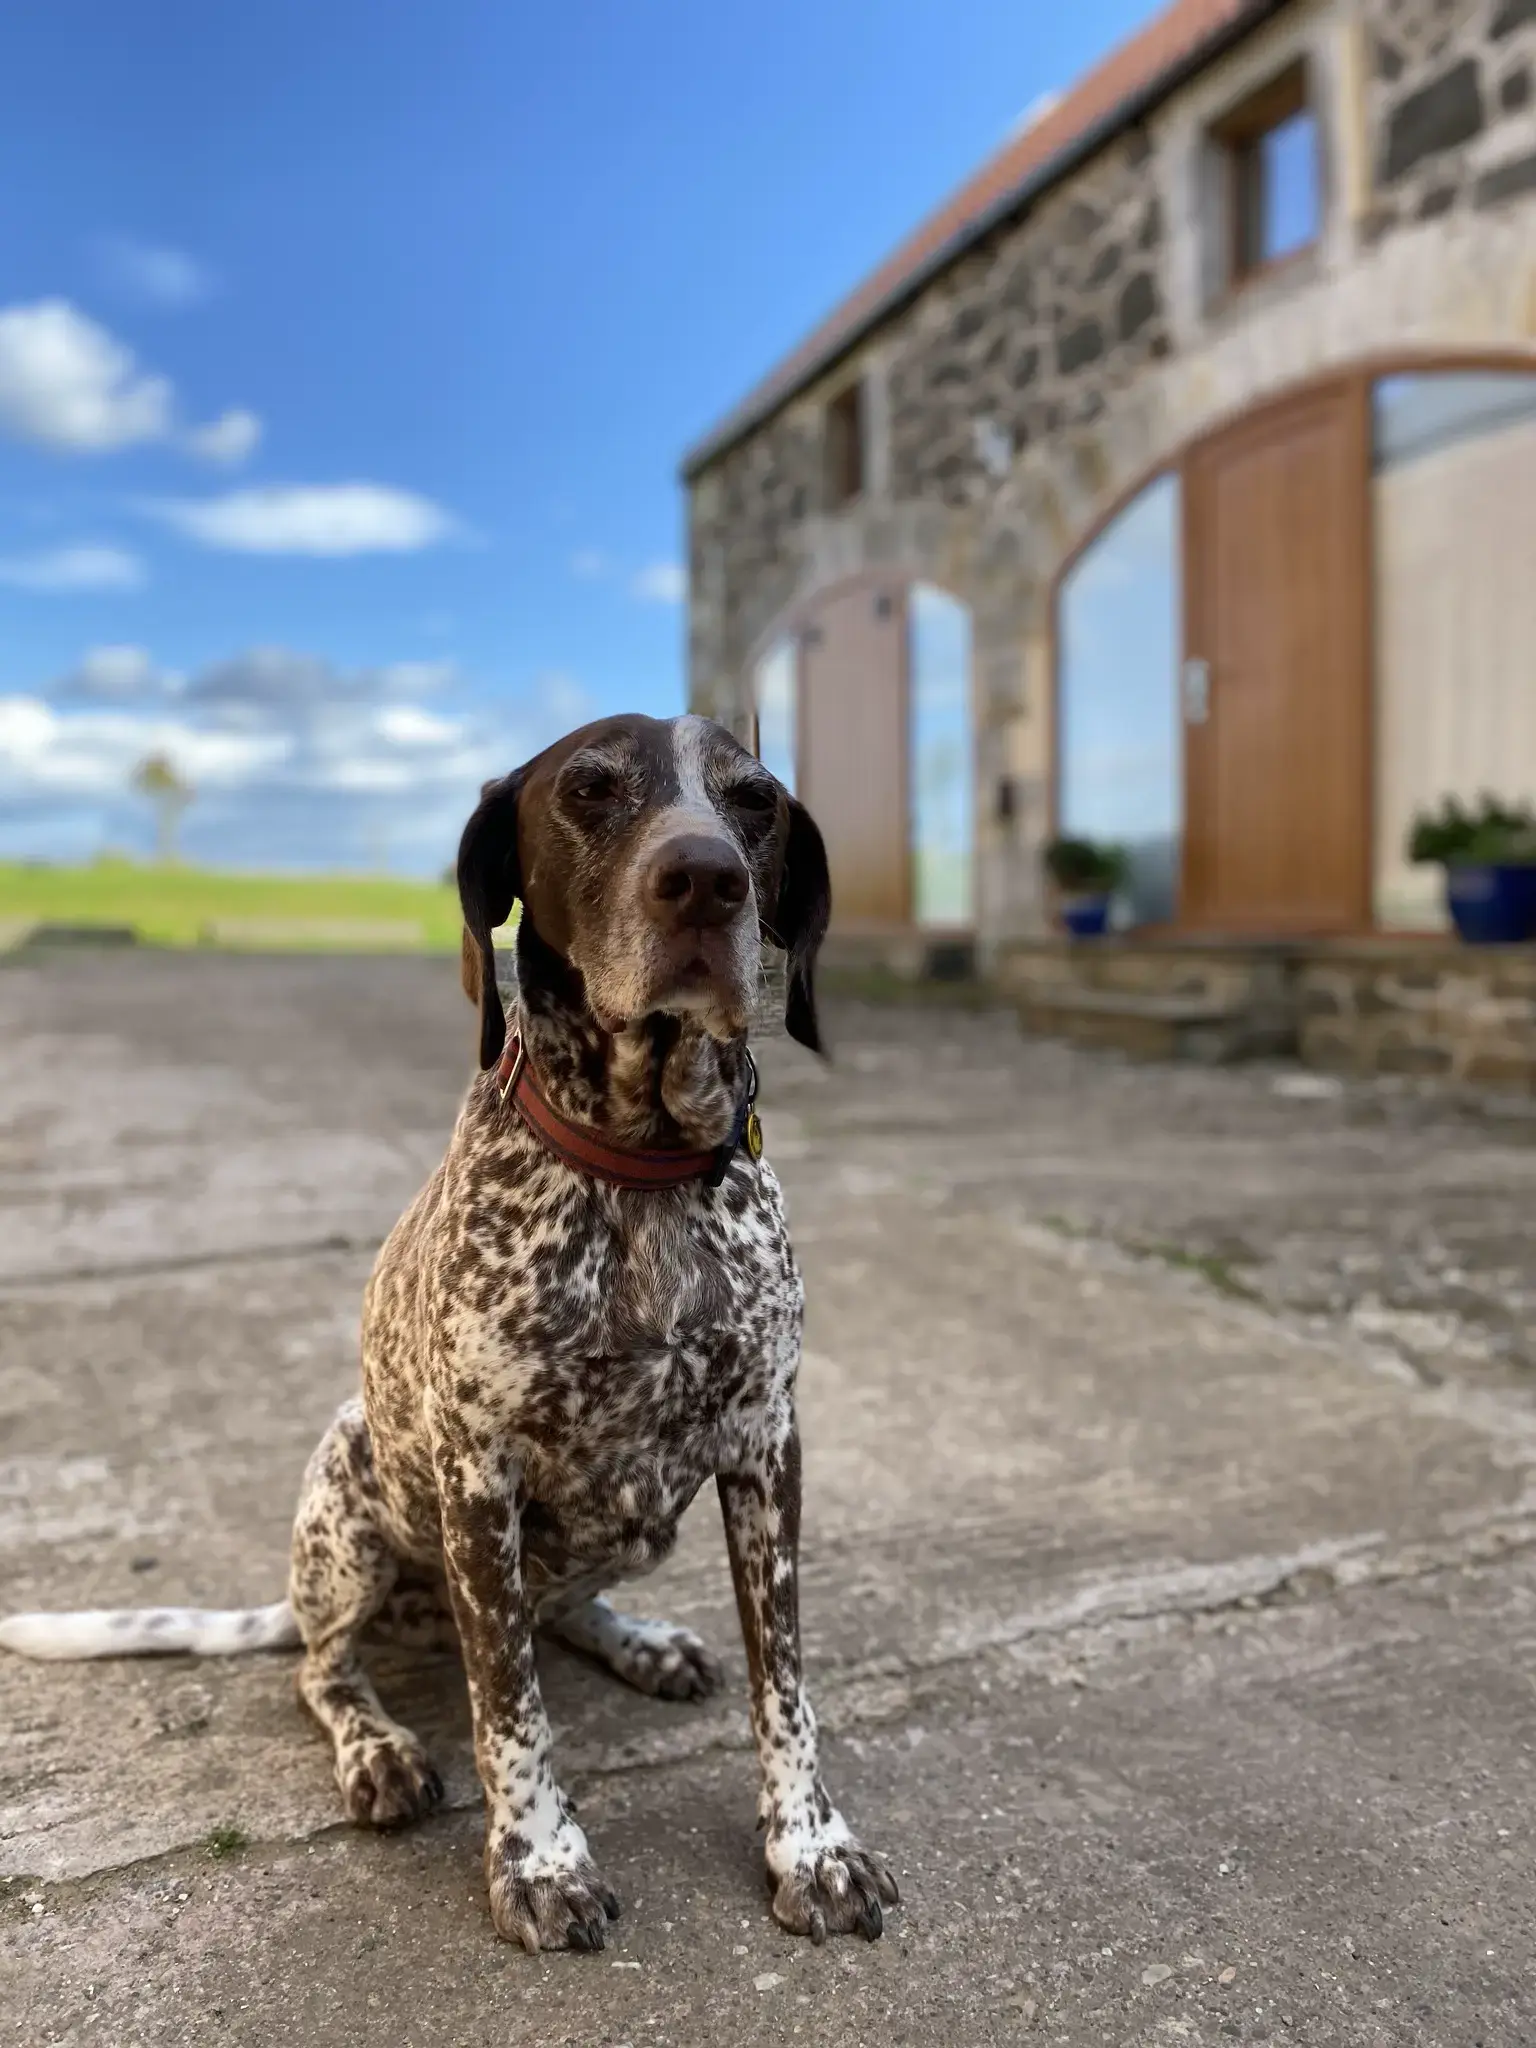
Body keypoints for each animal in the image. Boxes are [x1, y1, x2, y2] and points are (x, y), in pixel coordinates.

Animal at [0, 716, 897, 1949]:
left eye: (753, 800)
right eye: (589, 788)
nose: (707, 879)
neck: (643, 1169)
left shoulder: (768, 1449)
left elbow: (787, 1686)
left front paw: (810, 1844)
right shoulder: (479, 1474)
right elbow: (511, 1707)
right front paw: (540, 1859)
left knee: (563, 1609)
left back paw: (639, 1639)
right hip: (347, 1505)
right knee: (326, 1669)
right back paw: (376, 1744)